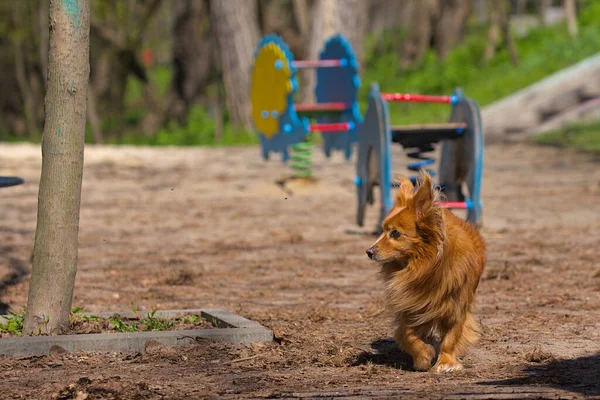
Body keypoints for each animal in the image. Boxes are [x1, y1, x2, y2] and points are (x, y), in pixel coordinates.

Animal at [366, 172, 488, 372]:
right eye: (382, 230)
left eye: (395, 233)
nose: (368, 251)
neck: (424, 267)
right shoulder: (410, 305)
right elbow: (408, 334)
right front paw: (423, 356)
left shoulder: (457, 307)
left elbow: (451, 337)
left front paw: (445, 362)